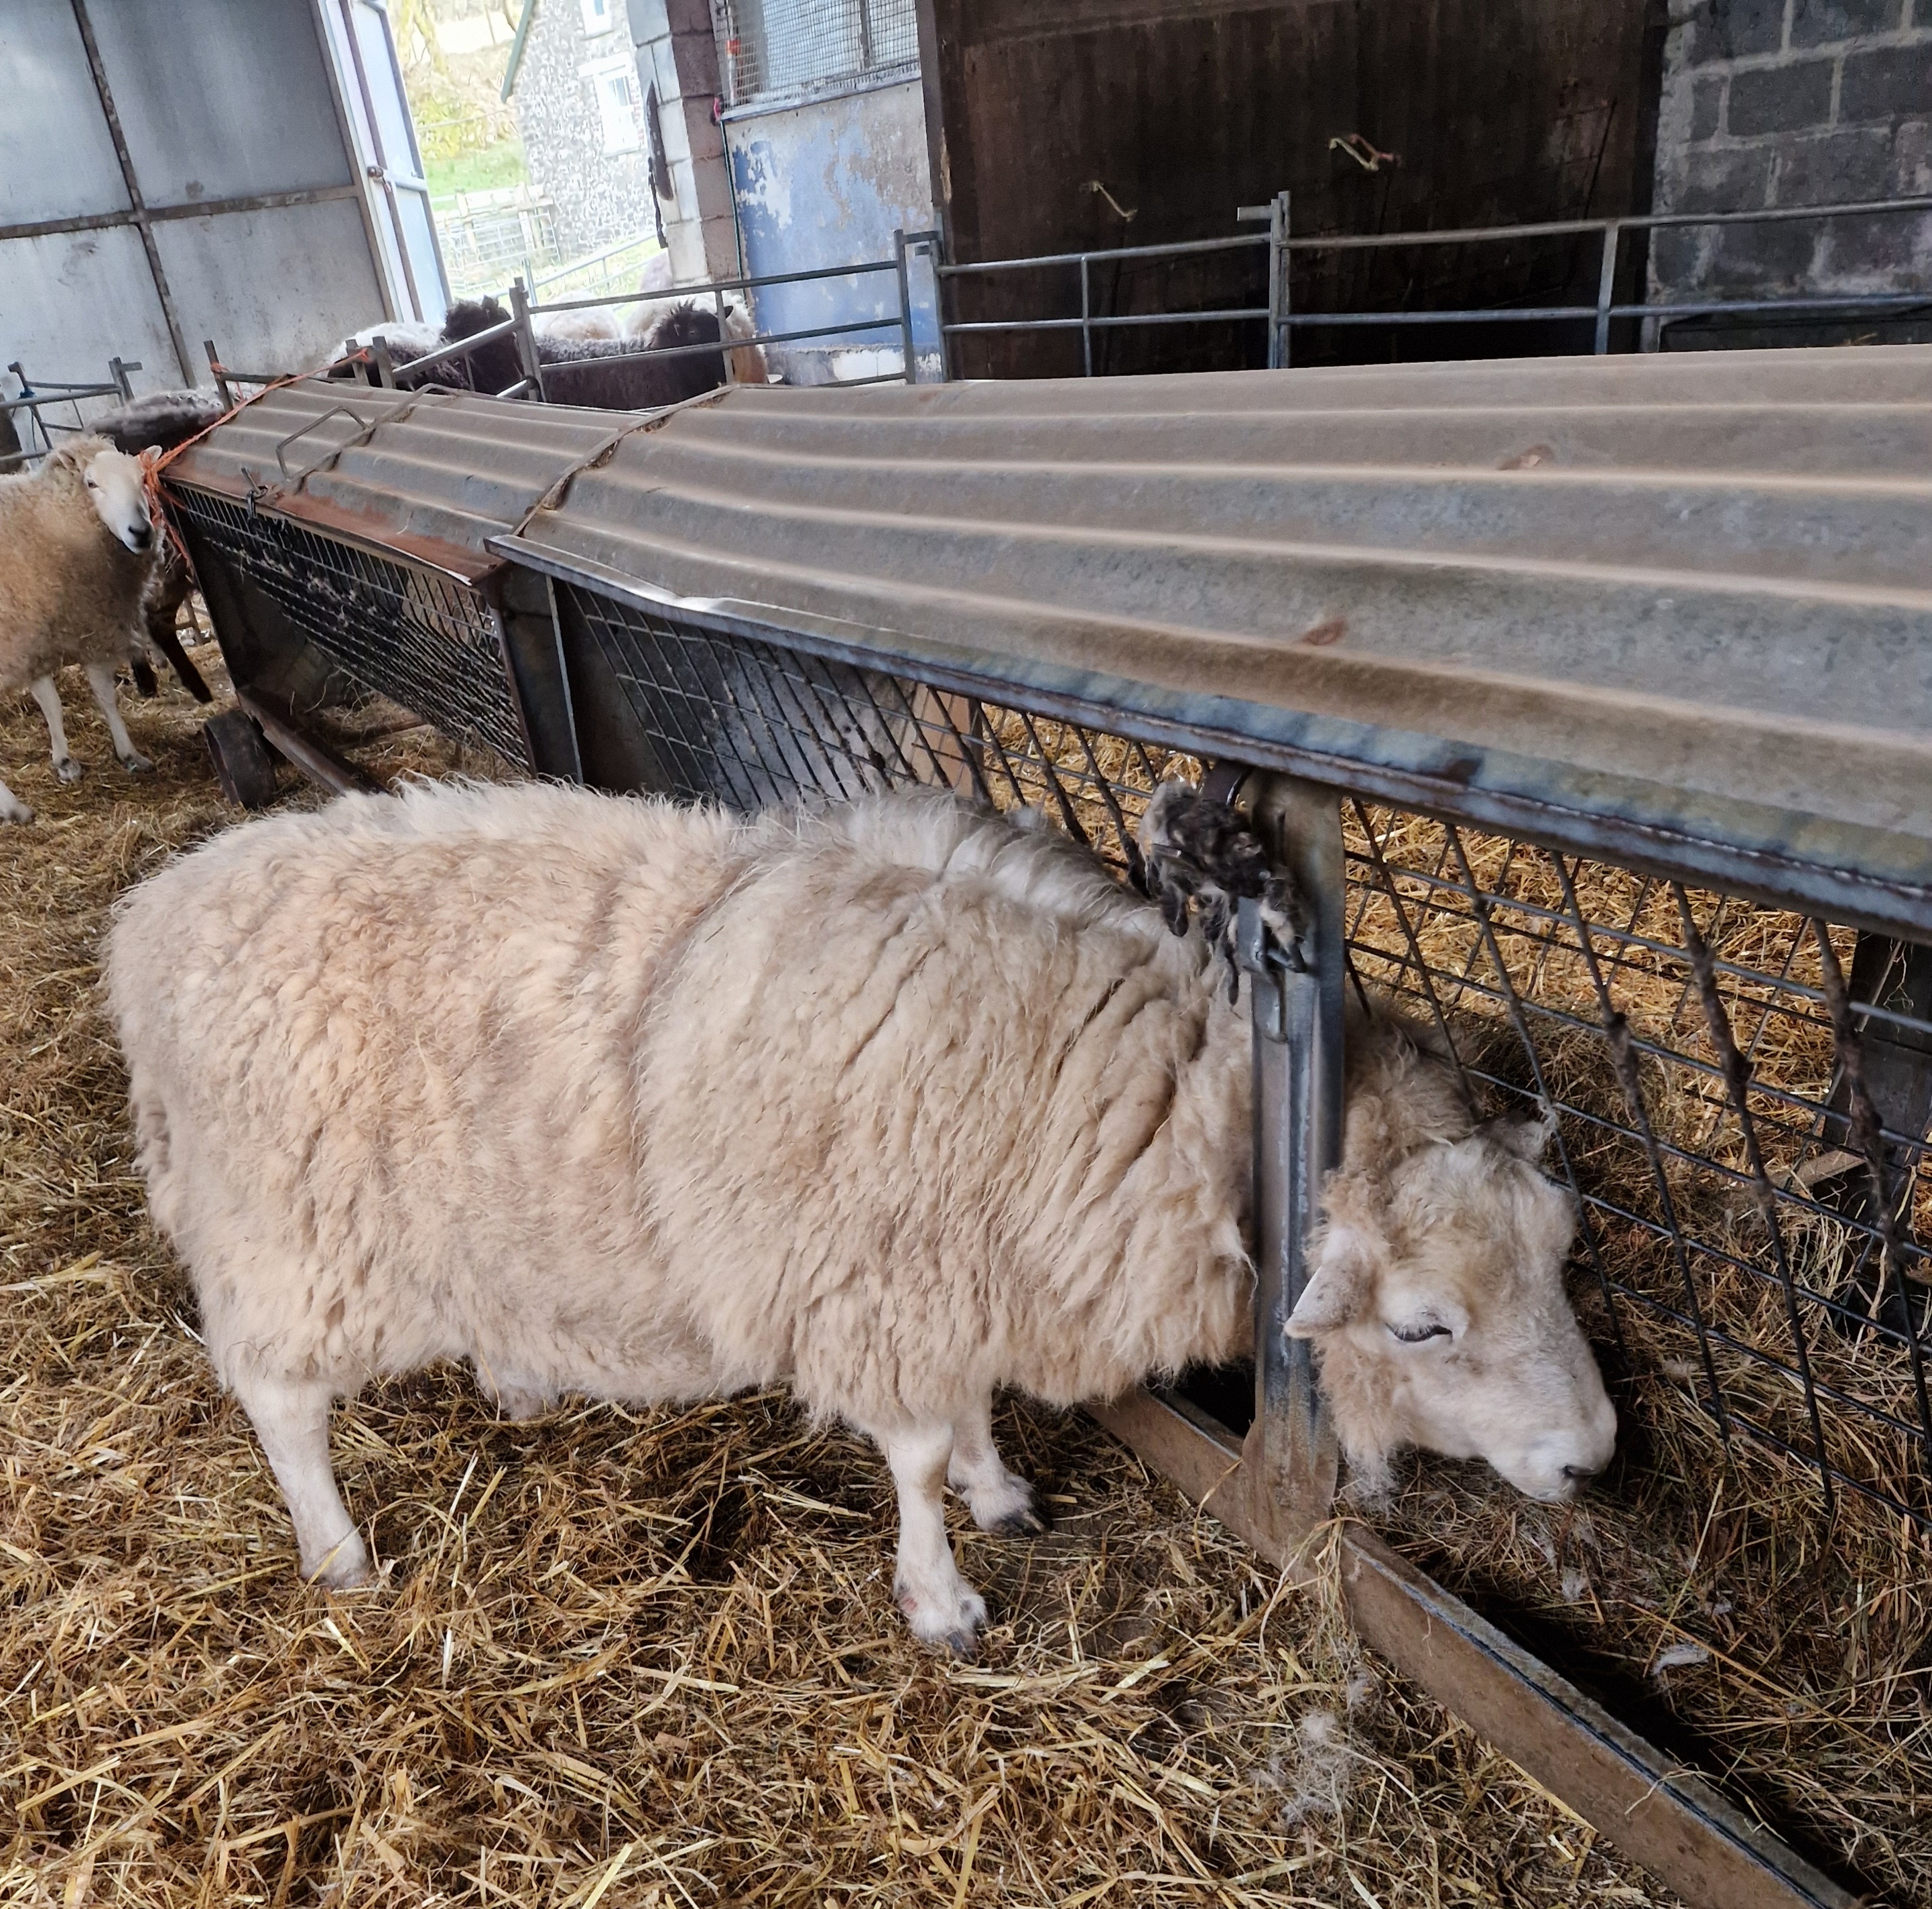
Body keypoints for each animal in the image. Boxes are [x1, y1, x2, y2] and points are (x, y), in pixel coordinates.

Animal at [1, 436, 157, 824]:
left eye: (142, 479)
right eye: (91, 483)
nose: (142, 533)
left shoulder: (38, 638)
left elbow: (57, 703)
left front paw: (66, 761)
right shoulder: (87, 630)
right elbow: (102, 695)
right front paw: (127, 753)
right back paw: (14, 808)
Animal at [108, 779, 1616, 1651]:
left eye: (1557, 1253)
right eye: (1422, 1325)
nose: (1594, 1457)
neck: (1131, 1088)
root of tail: (150, 918)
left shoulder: (956, 1263)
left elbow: (967, 1406)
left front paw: (1000, 1489)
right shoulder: (884, 1276)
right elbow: (910, 1449)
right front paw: (941, 1594)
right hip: (292, 1237)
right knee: (279, 1400)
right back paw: (338, 1553)